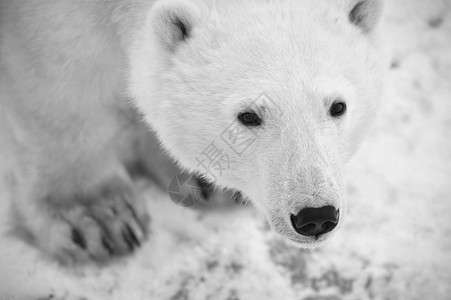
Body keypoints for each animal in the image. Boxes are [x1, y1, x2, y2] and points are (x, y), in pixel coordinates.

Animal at [0, 0, 386, 262]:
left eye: (338, 106)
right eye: (248, 116)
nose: (316, 217)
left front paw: (199, 180)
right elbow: (62, 84)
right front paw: (99, 217)